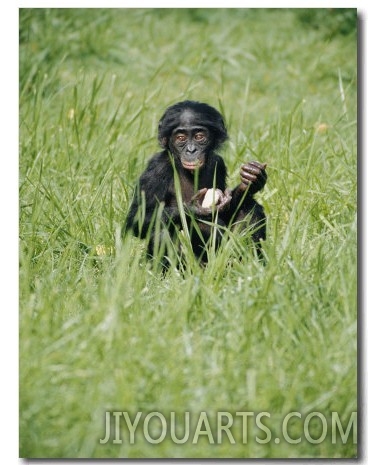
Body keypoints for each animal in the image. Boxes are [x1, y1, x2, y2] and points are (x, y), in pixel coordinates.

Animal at [124, 100, 268, 268]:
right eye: (180, 138)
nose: (191, 150)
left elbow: (227, 210)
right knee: (159, 229)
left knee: (251, 208)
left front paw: (251, 180)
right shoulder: (155, 171)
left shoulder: (218, 163)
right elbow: (137, 217)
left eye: (199, 136)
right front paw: (194, 209)